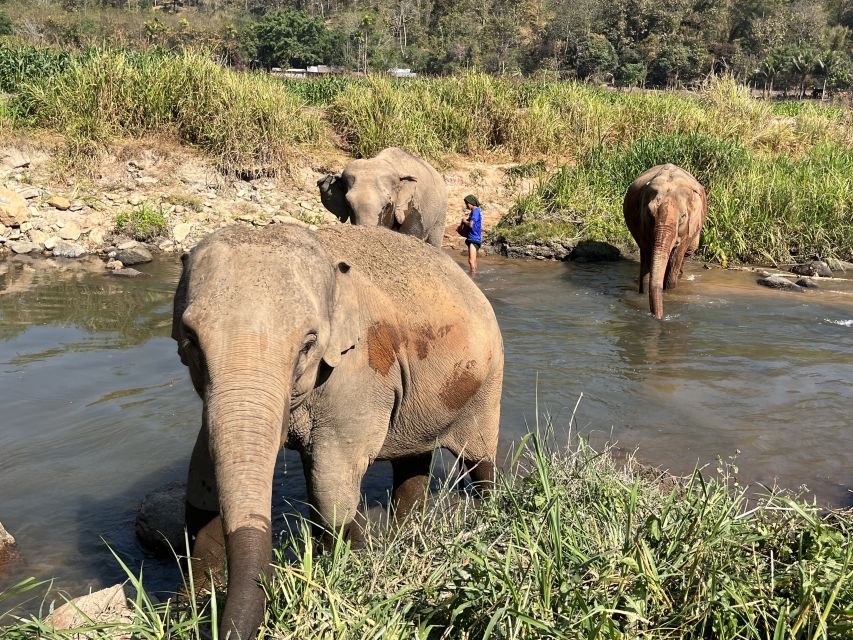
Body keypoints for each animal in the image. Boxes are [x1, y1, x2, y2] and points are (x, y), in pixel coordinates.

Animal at [175, 222, 506, 636]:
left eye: (308, 343)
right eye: (190, 339)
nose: (217, 626)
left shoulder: (359, 372)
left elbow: (330, 483)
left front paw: (343, 573)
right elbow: (201, 475)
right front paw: (191, 605)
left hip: (487, 382)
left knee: (478, 460)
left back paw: (487, 515)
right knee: (412, 463)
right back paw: (408, 533)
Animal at [620, 162, 704, 318]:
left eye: (683, 217)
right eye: (649, 214)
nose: (659, 318)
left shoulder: (688, 228)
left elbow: (677, 256)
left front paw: (669, 292)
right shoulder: (643, 225)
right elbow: (647, 261)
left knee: (690, 250)